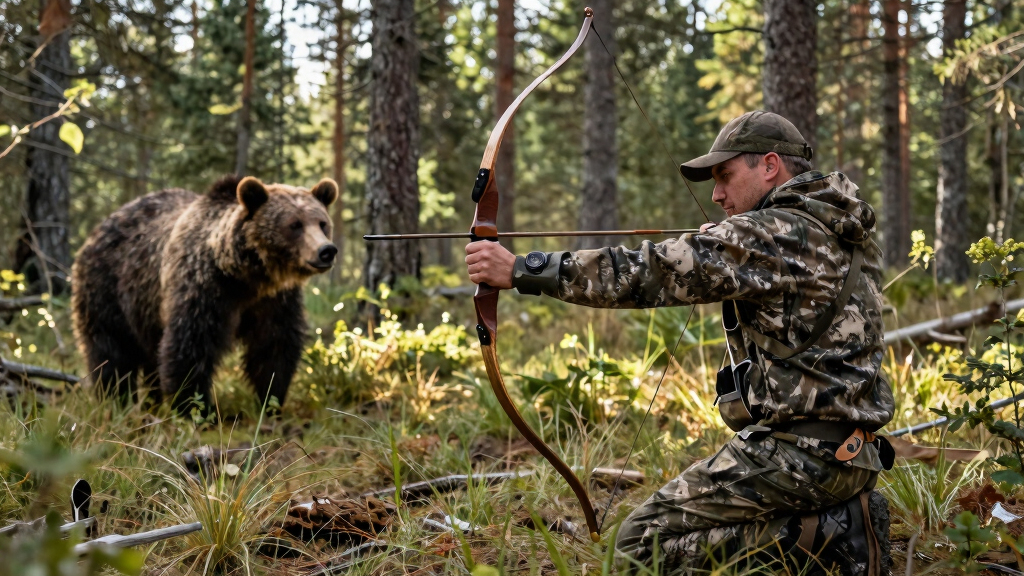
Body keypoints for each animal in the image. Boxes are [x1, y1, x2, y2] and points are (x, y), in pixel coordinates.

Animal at [71, 174, 339, 413]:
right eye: (295, 224)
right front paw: (196, 409)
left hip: (144, 311)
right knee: (111, 350)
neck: (247, 276)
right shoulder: (204, 289)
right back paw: (117, 400)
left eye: (322, 223)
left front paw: (270, 400)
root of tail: (101, 225)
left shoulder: (274, 300)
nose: (326, 250)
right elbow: (190, 346)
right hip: (108, 288)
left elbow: (274, 345)